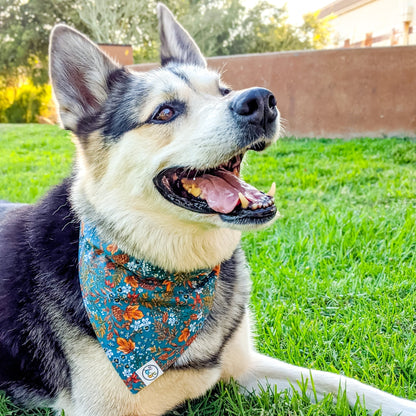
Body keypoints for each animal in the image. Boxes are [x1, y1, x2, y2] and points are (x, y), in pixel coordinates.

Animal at [0, 4, 416, 416]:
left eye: (223, 91)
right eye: (165, 112)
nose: (261, 101)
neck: (170, 270)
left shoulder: (245, 366)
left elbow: (345, 383)